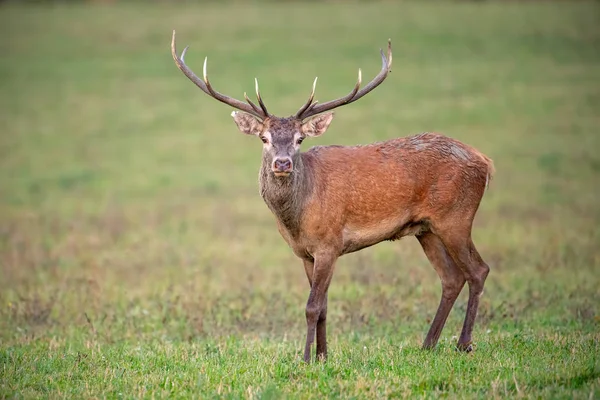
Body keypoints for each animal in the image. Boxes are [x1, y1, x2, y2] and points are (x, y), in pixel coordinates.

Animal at [171, 31, 494, 362]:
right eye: (264, 138)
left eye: (300, 139)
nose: (282, 163)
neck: (296, 220)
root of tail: (485, 162)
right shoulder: (305, 253)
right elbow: (323, 306)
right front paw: (323, 357)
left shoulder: (329, 244)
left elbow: (312, 306)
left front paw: (304, 358)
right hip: (426, 229)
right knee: (451, 278)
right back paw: (428, 344)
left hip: (456, 217)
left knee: (478, 270)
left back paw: (464, 342)